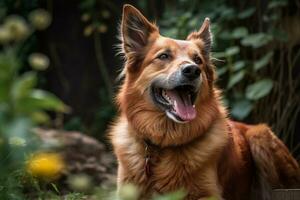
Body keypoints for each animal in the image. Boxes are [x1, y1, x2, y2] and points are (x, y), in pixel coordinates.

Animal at [109, 4, 298, 200]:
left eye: (198, 60)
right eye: (163, 56)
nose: (192, 70)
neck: (165, 145)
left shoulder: (208, 193)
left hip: (259, 136)